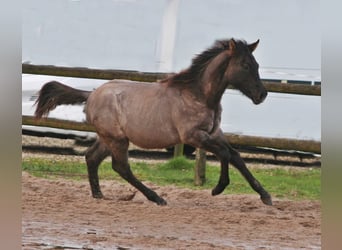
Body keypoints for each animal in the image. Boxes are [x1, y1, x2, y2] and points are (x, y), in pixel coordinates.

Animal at [34, 38, 272, 205]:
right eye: (244, 65)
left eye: (257, 64)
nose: (262, 95)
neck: (199, 95)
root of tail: (91, 94)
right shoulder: (193, 136)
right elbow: (224, 154)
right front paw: (218, 188)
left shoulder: (214, 133)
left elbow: (236, 156)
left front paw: (265, 196)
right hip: (117, 140)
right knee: (120, 167)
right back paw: (156, 198)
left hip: (109, 138)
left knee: (92, 158)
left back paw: (99, 194)